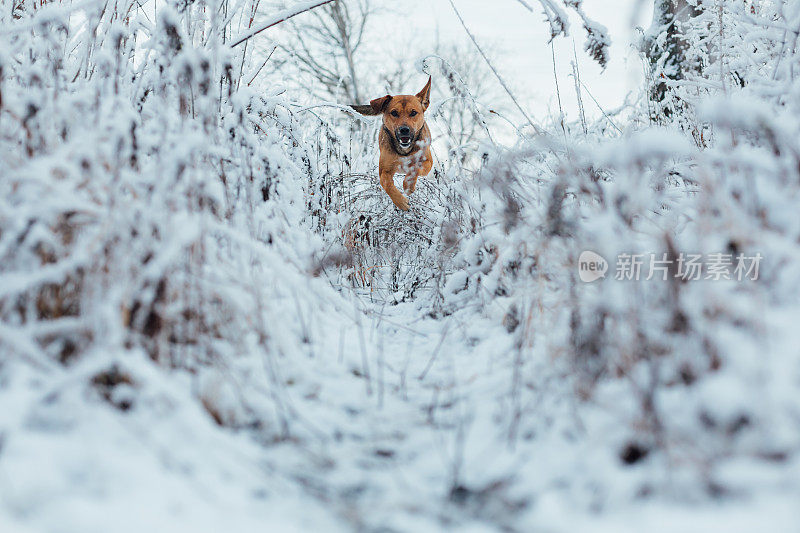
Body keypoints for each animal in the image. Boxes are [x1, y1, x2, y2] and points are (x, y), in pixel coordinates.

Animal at [348, 77, 432, 210]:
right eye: (394, 113)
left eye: (413, 113)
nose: (404, 130)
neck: (404, 151)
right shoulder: (385, 169)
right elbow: (385, 182)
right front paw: (400, 201)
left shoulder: (428, 162)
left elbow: (415, 167)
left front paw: (408, 184)